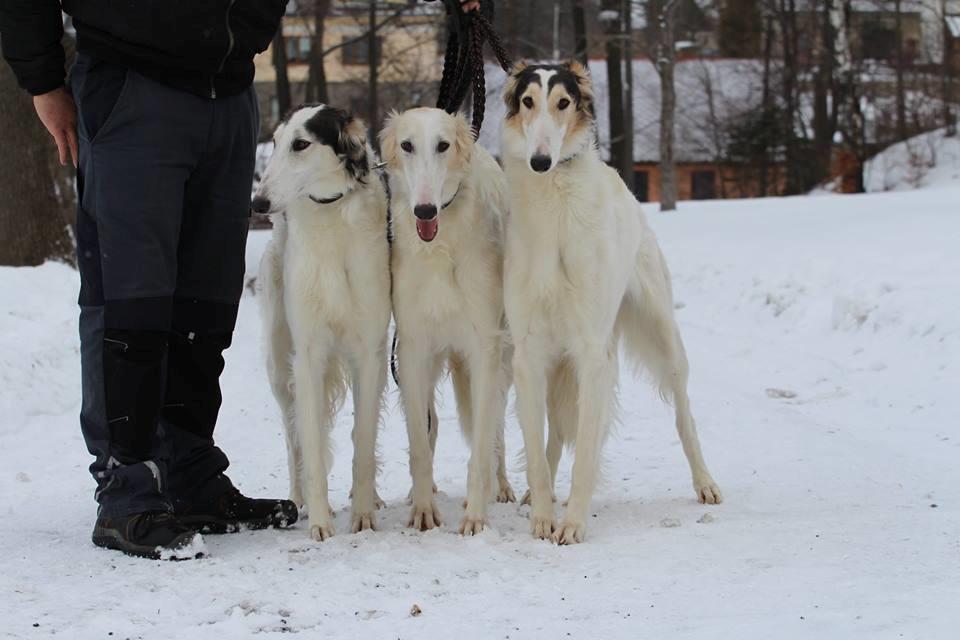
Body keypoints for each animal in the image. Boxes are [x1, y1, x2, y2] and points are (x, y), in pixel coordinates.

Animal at [255, 105, 394, 540]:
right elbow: (312, 446)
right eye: (275, 141)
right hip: (279, 367)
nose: (258, 202)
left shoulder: (369, 352)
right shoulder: (308, 355)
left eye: (301, 144)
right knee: (293, 436)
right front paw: (319, 521)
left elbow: (363, 440)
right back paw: (296, 500)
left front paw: (363, 514)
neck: (332, 215)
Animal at [380, 107, 516, 532]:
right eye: (407, 145)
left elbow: (483, 442)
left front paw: (474, 516)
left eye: (442, 145)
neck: (438, 249)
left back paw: (501, 486)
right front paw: (423, 509)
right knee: (433, 423)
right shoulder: (412, 347)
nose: (424, 210)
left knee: (496, 430)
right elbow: (419, 443)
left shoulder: (484, 345)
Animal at [502, 61, 720, 544]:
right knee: (553, 435)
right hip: (558, 363)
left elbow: (585, 450)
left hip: (662, 338)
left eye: (563, 102)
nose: (540, 161)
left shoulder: (591, 350)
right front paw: (543, 516)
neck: (555, 203)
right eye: (527, 101)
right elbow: (538, 449)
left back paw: (705, 482)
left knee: (685, 416)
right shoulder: (529, 351)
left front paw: (572, 524)